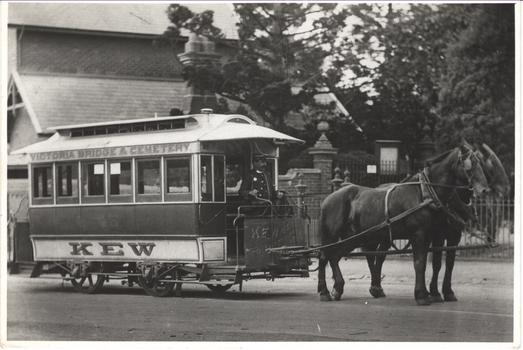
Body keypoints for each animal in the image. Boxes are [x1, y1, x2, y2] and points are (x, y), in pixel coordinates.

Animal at [318, 144, 494, 304]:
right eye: (470, 165)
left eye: (480, 163)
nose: (485, 190)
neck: (424, 192)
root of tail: (330, 197)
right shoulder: (421, 235)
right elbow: (420, 263)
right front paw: (423, 295)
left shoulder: (439, 235)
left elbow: (440, 264)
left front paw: (437, 293)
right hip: (333, 235)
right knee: (325, 256)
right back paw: (327, 290)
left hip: (357, 237)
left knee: (337, 256)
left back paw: (340, 288)